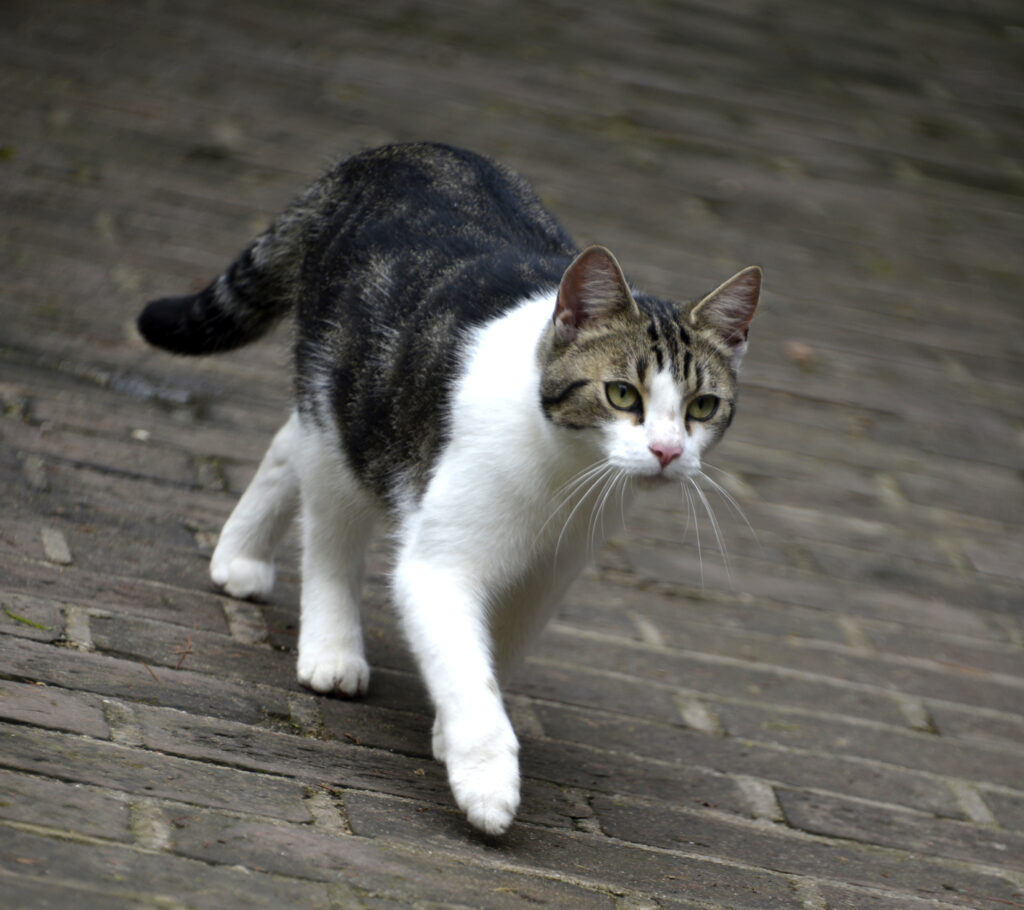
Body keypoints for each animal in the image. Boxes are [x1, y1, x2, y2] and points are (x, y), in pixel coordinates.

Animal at [136, 140, 761, 831]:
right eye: (622, 394)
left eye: (702, 407)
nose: (667, 451)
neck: (564, 469)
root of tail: (384, 153)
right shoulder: (438, 566)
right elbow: (463, 661)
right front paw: (485, 778)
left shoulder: (549, 573)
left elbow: (496, 652)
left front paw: (449, 731)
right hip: (341, 393)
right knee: (328, 527)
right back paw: (330, 646)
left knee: (287, 443)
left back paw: (241, 555)